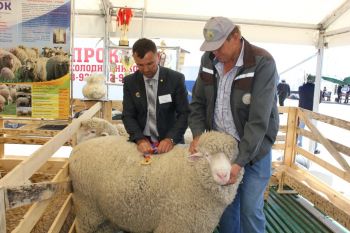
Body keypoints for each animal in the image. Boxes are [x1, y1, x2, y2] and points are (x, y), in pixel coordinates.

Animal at [68, 131, 243, 233]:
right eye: (206, 155)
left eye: (232, 157)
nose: (223, 175)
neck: (192, 173)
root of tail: (76, 149)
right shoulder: (175, 224)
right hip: (87, 206)